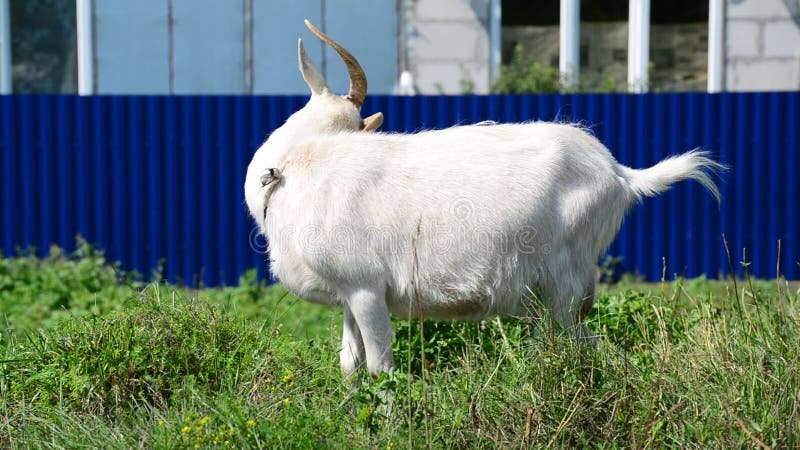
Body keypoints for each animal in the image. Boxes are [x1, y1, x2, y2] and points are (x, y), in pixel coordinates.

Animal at [244, 22, 724, 380]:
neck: (295, 165)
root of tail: (620, 175)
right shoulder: (347, 295)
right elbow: (350, 365)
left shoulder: (365, 289)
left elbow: (380, 366)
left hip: (563, 282)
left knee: (576, 343)